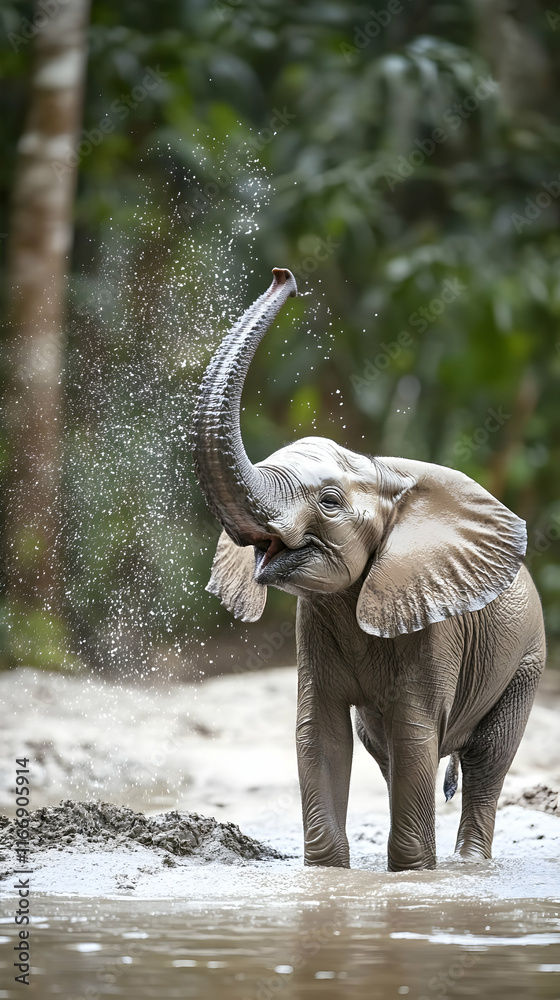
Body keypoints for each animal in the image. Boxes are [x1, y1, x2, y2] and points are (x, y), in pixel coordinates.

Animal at [191, 267, 546, 872]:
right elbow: (320, 732)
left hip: (527, 658)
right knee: (386, 747)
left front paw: (412, 875)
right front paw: (329, 875)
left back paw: (469, 866)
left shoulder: (436, 623)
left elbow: (415, 730)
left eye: (330, 502)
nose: (285, 277)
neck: (381, 472)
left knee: (487, 757)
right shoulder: (314, 622)